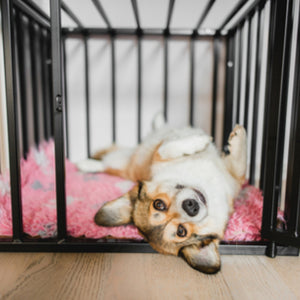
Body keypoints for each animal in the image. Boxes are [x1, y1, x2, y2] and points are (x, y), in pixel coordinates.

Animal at [77, 115, 246, 274]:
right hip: (121, 163)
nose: (191, 207)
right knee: (106, 164)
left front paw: (235, 138)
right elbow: (166, 148)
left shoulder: (233, 178)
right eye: (181, 231)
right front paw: (202, 141)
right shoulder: (158, 156)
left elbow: (239, 163)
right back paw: (86, 164)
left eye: (159, 204)